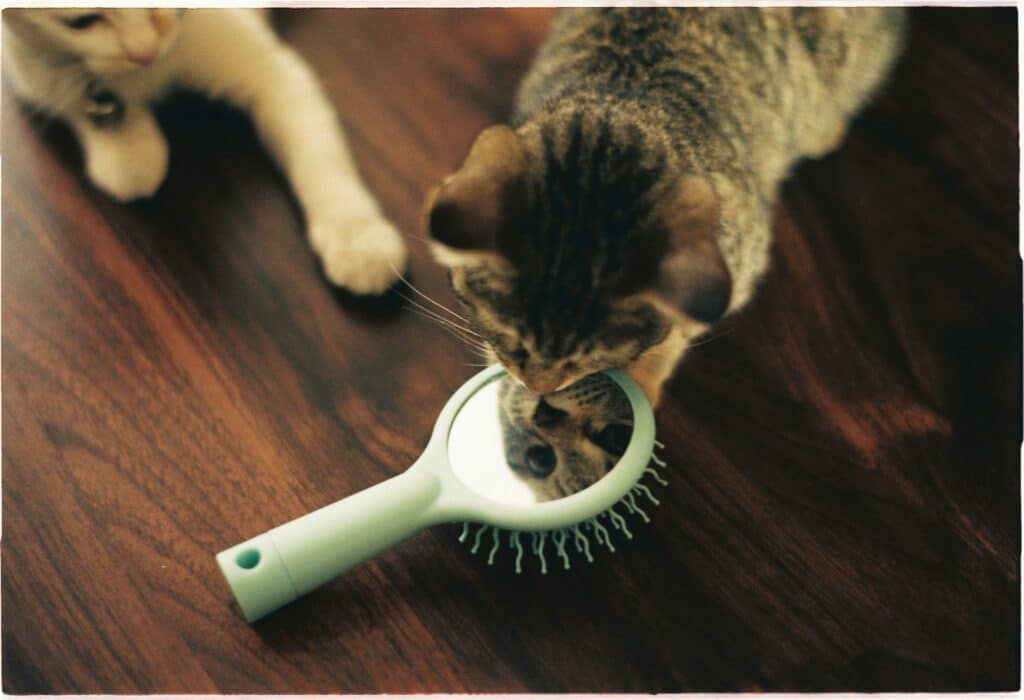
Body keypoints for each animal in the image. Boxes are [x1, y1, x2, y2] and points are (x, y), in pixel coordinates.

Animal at [4, 9, 411, 296]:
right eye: (80, 22)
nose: (145, 51)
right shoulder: (24, 65)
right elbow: (66, 93)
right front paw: (126, 145)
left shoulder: (274, 72)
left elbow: (321, 160)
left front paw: (358, 236)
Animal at [423, 8, 905, 405]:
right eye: (510, 338)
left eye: (586, 358)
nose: (538, 386)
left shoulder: (736, 261)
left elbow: (677, 333)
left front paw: (644, 375)